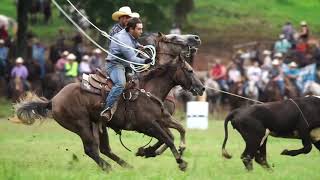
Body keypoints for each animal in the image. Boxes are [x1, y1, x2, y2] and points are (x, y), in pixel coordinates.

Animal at [14, 32, 202, 172]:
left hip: (99, 125)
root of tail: (53, 100)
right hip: (81, 125)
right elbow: (168, 138)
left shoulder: (162, 119)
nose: (201, 88)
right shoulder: (147, 124)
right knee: (91, 149)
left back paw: (126, 166)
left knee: (104, 149)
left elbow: (179, 130)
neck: (149, 90)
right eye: (189, 70)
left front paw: (150, 151)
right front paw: (180, 162)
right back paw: (109, 168)